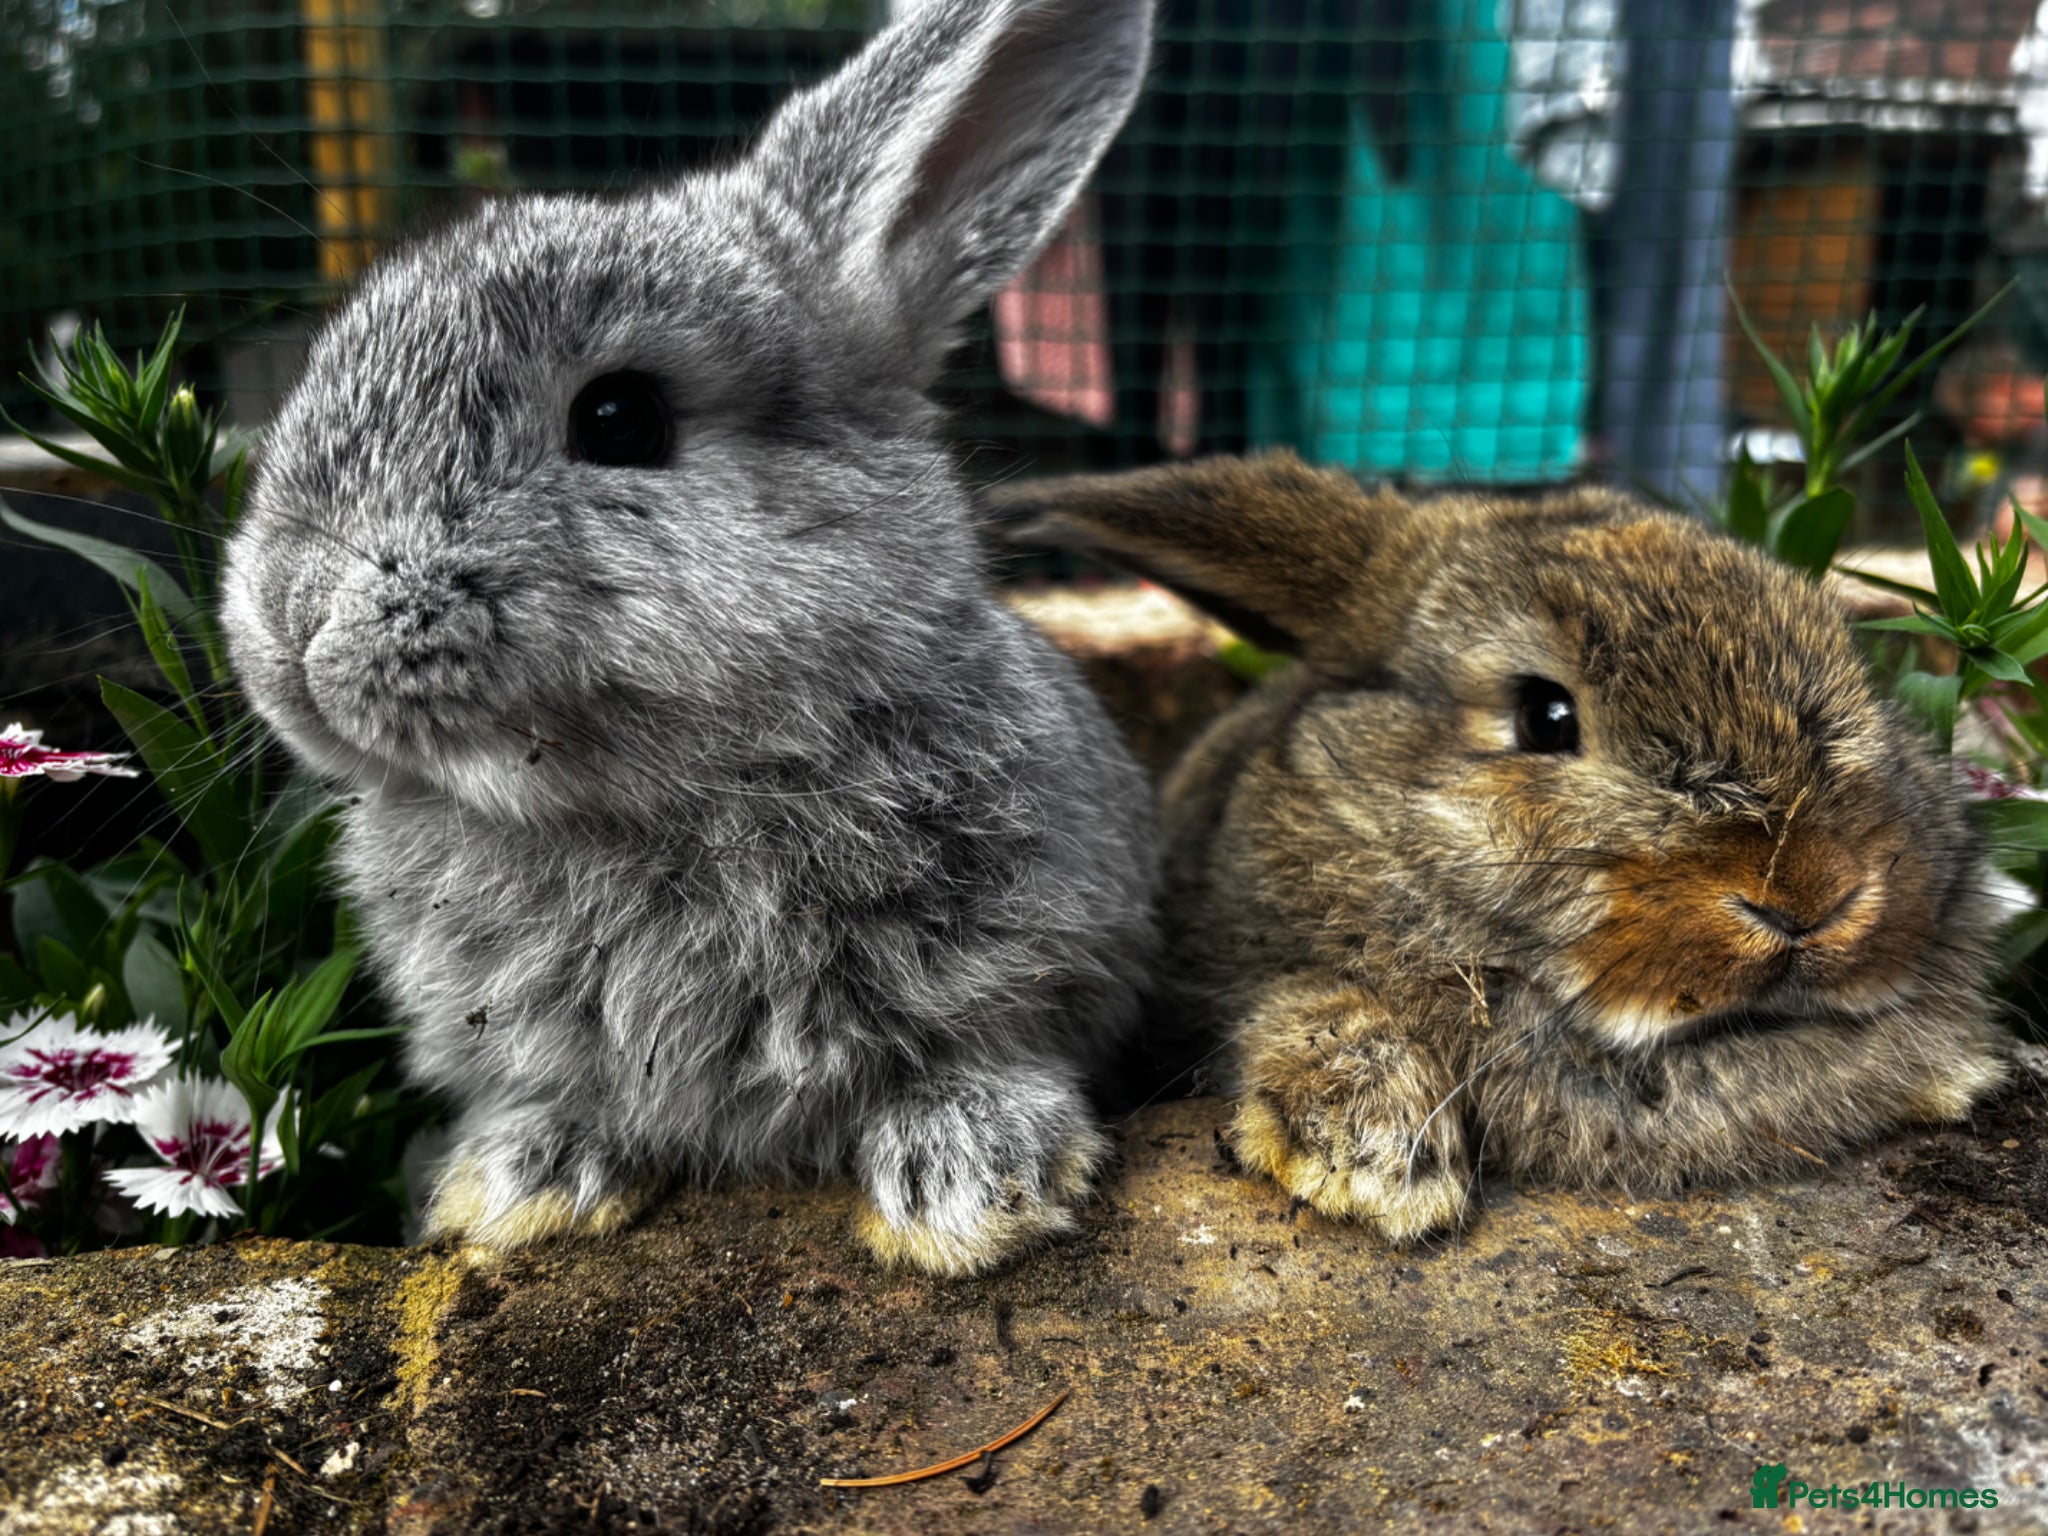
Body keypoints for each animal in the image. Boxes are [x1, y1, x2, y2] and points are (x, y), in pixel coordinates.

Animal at [219, 0, 1159, 1277]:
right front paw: (516, 1188)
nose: (292, 614)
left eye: (621, 418)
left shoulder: (1036, 965)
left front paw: (973, 1189)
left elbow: (983, 1056)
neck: (673, 794)